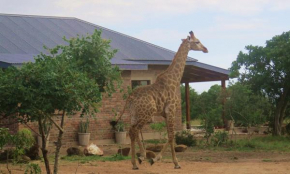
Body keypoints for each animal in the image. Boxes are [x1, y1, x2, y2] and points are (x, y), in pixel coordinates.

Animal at [114, 31, 207, 170]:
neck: (174, 80)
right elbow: (171, 136)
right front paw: (165, 161)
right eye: (197, 42)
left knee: (132, 131)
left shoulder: (165, 114)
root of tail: (130, 98)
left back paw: (138, 160)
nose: (206, 49)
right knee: (134, 130)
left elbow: (169, 135)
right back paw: (137, 161)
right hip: (146, 113)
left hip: (134, 114)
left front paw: (171, 162)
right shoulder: (171, 110)